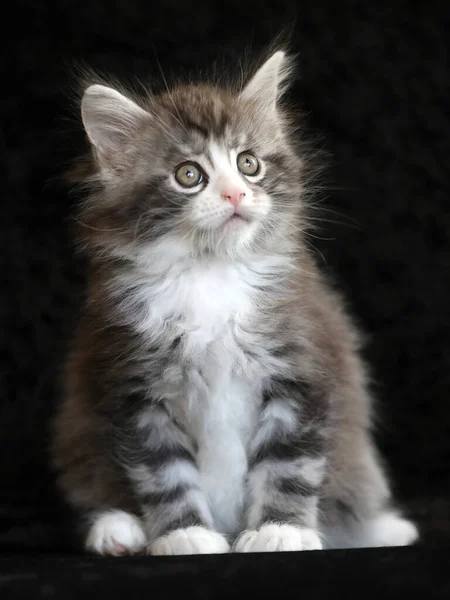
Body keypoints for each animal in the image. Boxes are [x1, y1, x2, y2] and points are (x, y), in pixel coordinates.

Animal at [51, 49, 418, 556]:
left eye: (248, 164)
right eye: (189, 174)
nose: (235, 193)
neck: (211, 274)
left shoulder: (303, 367)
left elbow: (288, 465)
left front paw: (280, 530)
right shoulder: (134, 387)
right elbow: (163, 474)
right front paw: (185, 535)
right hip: (81, 432)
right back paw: (117, 528)